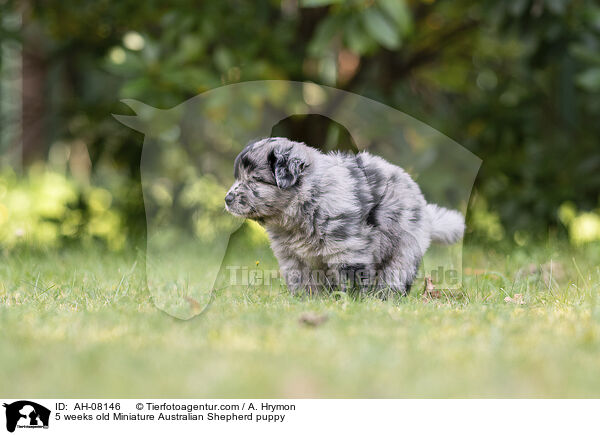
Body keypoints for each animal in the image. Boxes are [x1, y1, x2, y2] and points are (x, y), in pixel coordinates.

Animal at [225, 138, 464, 294]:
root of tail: (424, 208)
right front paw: (304, 300)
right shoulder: (291, 257)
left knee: (395, 275)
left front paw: (351, 301)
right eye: (238, 177)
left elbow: (351, 277)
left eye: (255, 180)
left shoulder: (348, 248)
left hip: (403, 248)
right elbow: (300, 280)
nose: (227, 199)